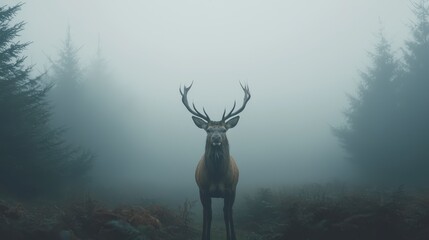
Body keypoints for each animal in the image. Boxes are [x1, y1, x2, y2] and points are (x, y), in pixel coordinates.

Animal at [179, 83, 249, 240]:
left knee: (228, 212)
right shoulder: (204, 190)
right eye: (208, 130)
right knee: (206, 213)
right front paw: (206, 236)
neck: (217, 176)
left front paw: (231, 237)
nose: (216, 138)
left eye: (224, 130)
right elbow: (209, 215)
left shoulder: (230, 189)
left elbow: (227, 215)